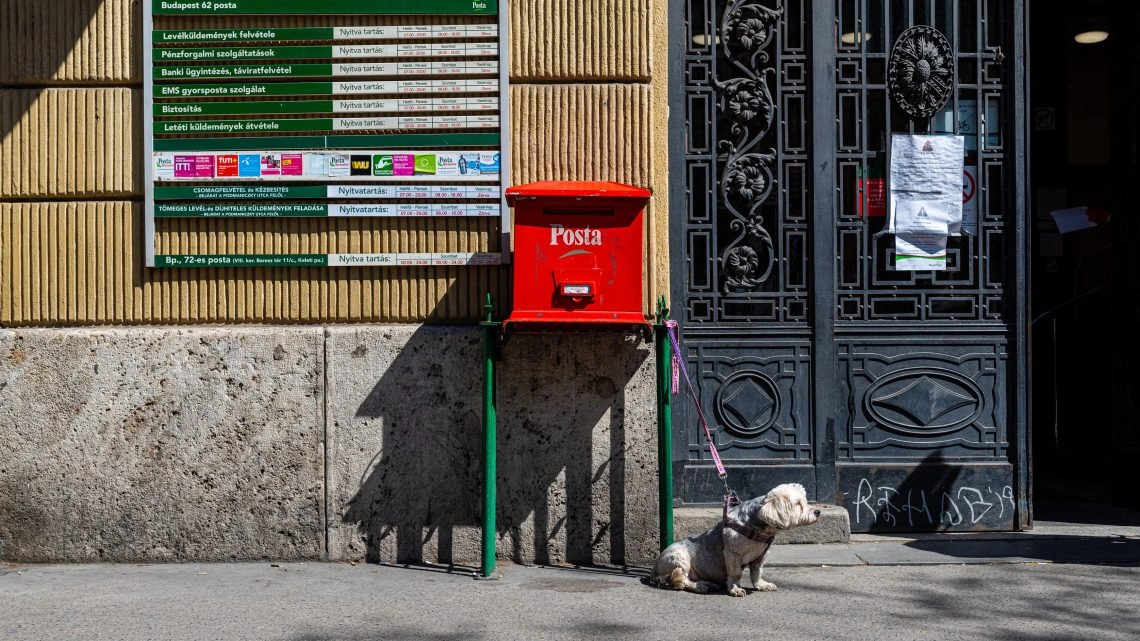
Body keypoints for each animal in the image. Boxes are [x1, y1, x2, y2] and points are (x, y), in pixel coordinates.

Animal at [652, 483, 820, 596]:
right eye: (798, 504)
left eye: (805, 501)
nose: (818, 512)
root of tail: (655, 569)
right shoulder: (732, 555)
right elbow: (735, 573)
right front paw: (735, 589)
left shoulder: (760, 557)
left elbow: (757, 573)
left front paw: (761, 585)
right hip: (679, 558)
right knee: (682, 580)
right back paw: (699, 586)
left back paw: (706, 583)